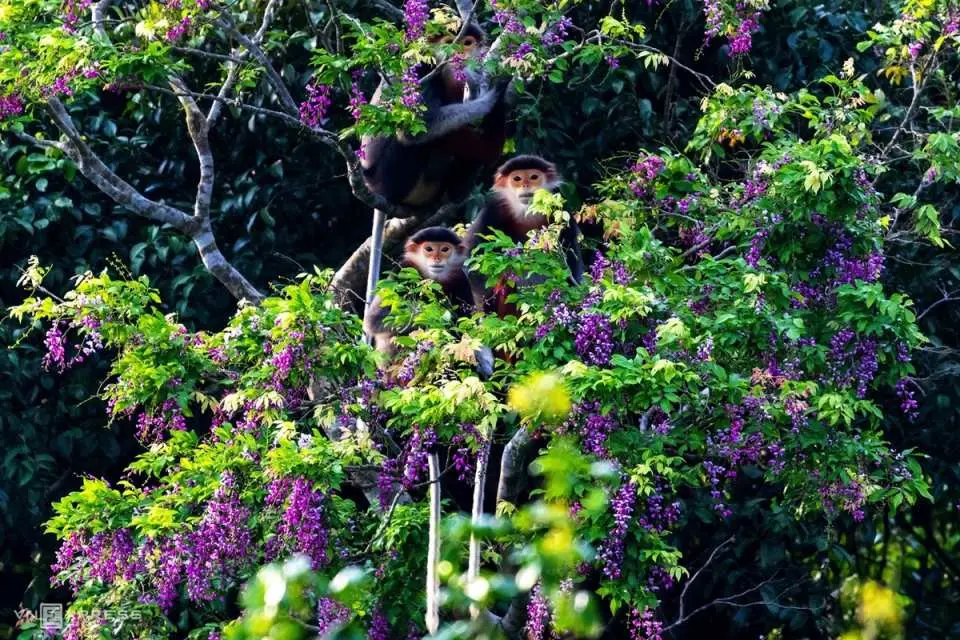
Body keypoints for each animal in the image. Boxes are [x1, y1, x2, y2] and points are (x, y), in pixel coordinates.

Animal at [359, 22, 510, 208]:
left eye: (467, 43)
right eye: (449, 43)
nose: (458, 56)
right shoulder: (420, 69)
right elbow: (413, 130)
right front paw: (490, 99)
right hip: (387, 181)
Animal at [465, 155, 584, 317]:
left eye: (533, 177)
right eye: (517, 178)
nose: (525, 185)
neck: (526, 212)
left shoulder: (559, 210)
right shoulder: (492, 211)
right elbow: (472, 259)